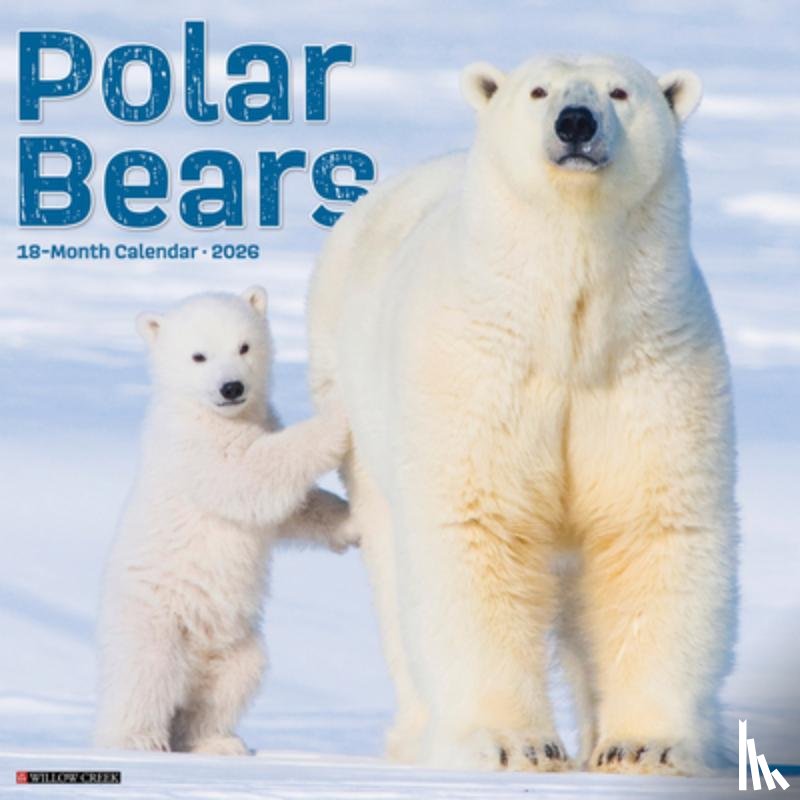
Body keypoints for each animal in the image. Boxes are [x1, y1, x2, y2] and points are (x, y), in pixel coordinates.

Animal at [95, 286, 356, 755]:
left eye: (244, 346)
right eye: (199, 355)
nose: (232, 387)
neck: (205, 412)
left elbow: (289, 510)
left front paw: (350, 522)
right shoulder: (194, 449)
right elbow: (249, 474)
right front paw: (336, 419)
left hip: (234, 640)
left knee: (234, 678)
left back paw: (216, 741)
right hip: (154, 617)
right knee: (146, 674)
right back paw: (137, 740)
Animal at [307, 55, 737, 775]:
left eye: (620, 91)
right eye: (538, 90)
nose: (576, 122)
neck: (567, 327)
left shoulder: (650, 365)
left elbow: (650, 528)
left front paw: (643, 745)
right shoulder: (479, 368)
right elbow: (477, 525)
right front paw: (516, 745)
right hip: (356, 410)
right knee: (395, 578)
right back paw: (417, 735)